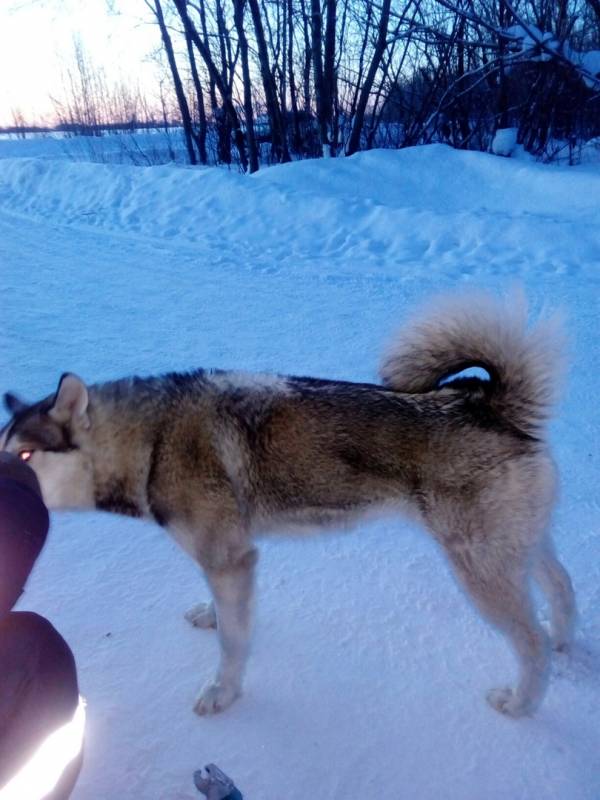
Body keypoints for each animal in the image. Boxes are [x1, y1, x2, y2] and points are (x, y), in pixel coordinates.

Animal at [1, 294, 576, 720]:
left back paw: (521, 703)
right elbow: (229, 618)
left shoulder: (231, 559)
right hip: (519, 547)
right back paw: (565, 640)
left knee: (530, 644)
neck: (151, 441)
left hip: (478, 568)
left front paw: (223, 693)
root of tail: (489, 404)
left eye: (25, 455)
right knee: (562, 586)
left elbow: (234, 645)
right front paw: (211, 615)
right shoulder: (232, 556)